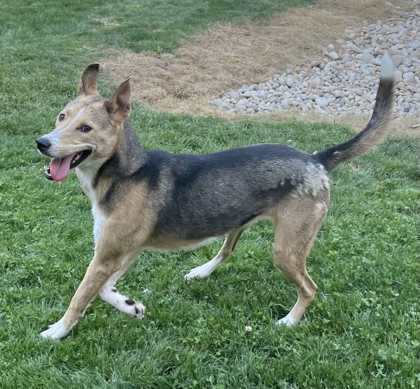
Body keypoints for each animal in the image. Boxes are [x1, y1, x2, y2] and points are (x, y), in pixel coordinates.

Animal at [37, 53, 396, 338]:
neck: (125, 173)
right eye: (61, 116)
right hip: (240, 222)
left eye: (86, 128)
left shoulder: (106, 256)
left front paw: (57, 331)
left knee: (309, 288)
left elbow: (82, 295)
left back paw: (289, 321)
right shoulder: (121, 251)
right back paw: (201, 271)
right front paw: (130, 305)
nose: (41, 142)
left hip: (287, 249)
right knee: (227, 250)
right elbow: (104, 290)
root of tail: (317, 158)